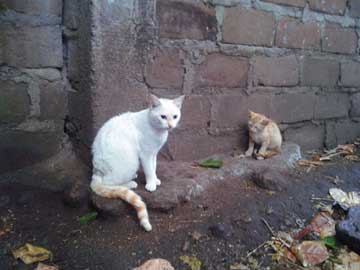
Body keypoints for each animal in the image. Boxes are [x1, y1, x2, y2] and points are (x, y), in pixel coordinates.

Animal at [90, 94, 186, 231]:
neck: (156, 129)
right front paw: (151, 184)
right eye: (163, 117)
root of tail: (96, 171)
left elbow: (154, 168)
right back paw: (130, 183)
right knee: (109, 183)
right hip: (131, 162)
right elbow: (149, 170)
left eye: (175, 116)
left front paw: (155, 180)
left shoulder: (153, 153)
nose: (170, 126)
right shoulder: (146, 154)